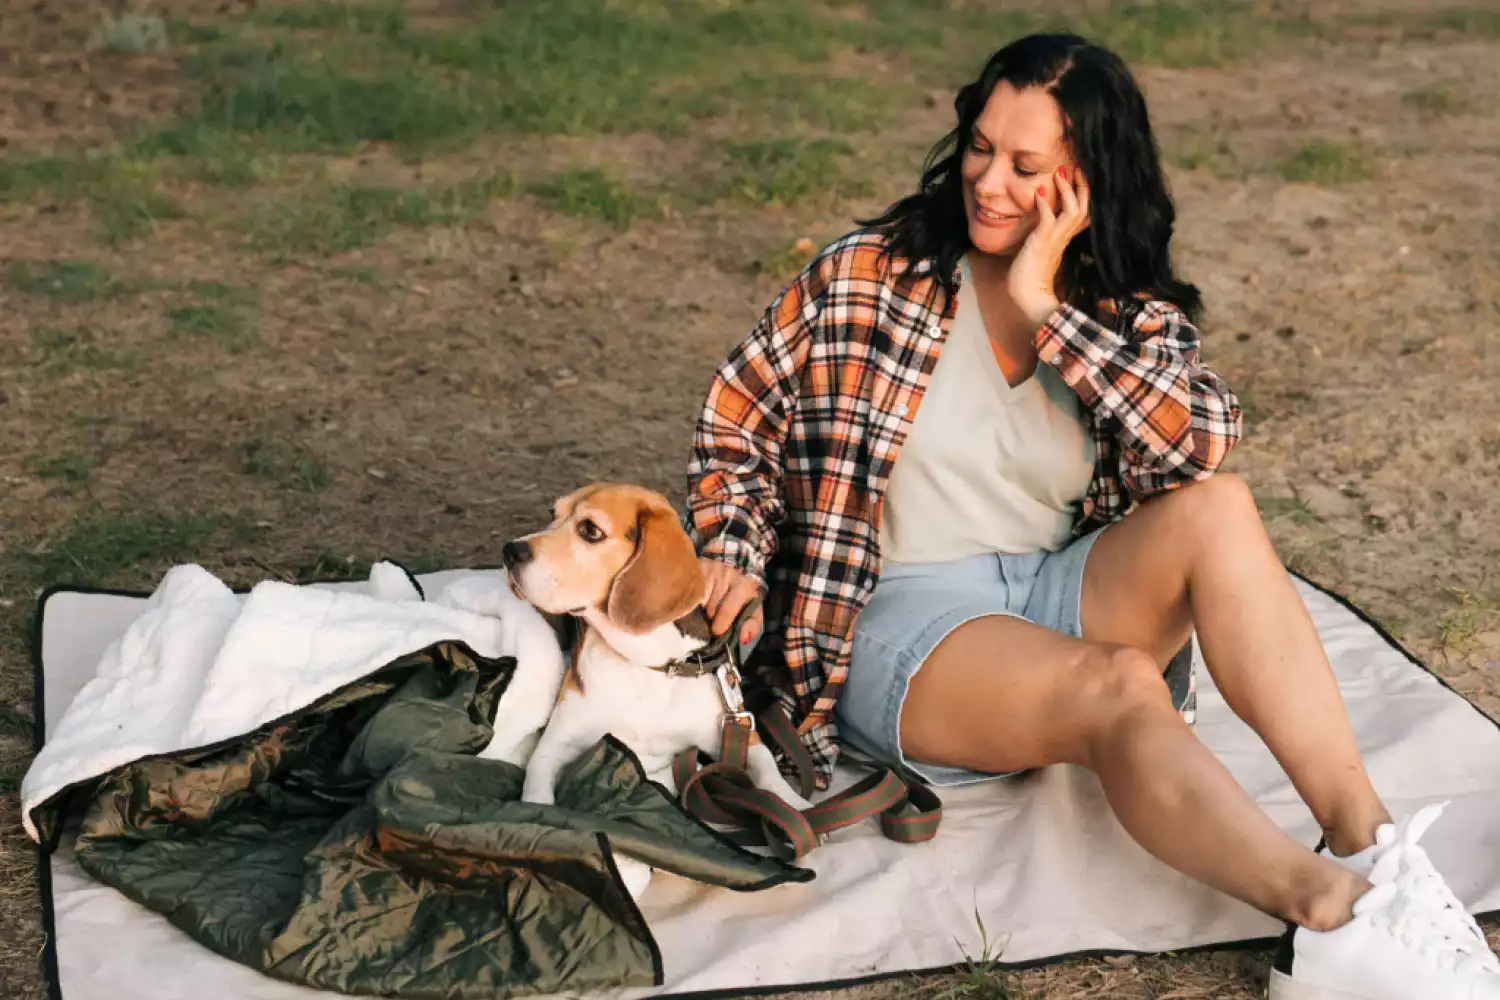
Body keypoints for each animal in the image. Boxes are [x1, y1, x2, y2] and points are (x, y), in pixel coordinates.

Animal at [501, 485, 810, 827]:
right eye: (552, 514)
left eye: (590, 530)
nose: (510, 551)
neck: (646, 664)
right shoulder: (555, 745)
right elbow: (538, 788)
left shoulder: (734, 730)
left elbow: (767, 769)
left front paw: (797, 807)